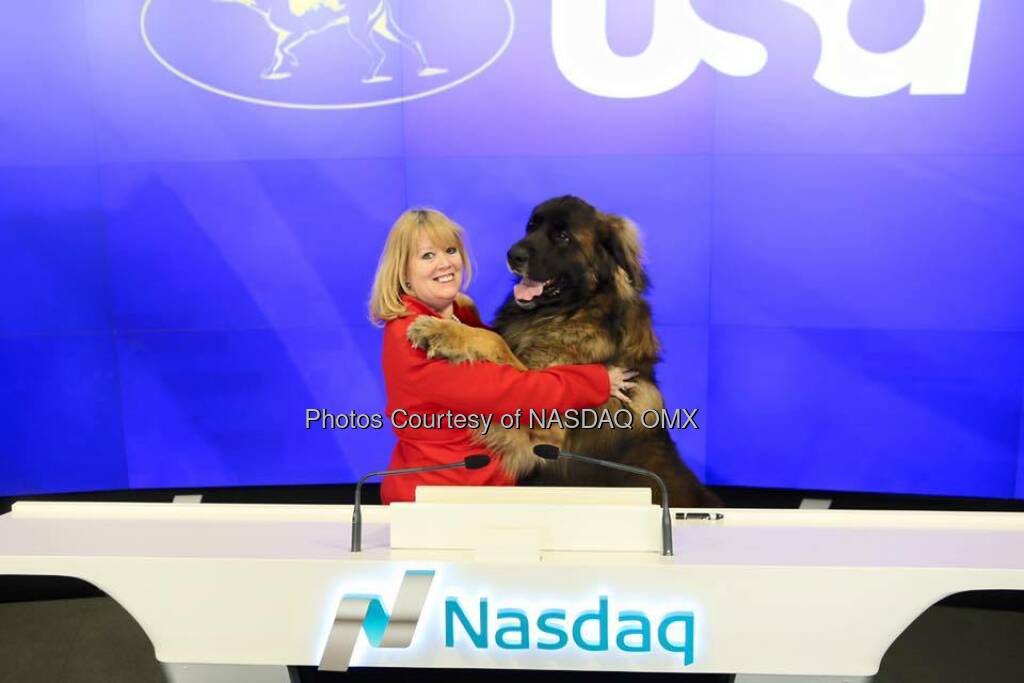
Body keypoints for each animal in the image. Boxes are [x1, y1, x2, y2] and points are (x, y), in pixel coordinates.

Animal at [407, 196, 720, 507]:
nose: (512, 255)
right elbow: (496, 338)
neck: (574, 309)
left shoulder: (542, 433)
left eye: (563, 236)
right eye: (531, 226)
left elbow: (494, 341)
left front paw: (440, 331)